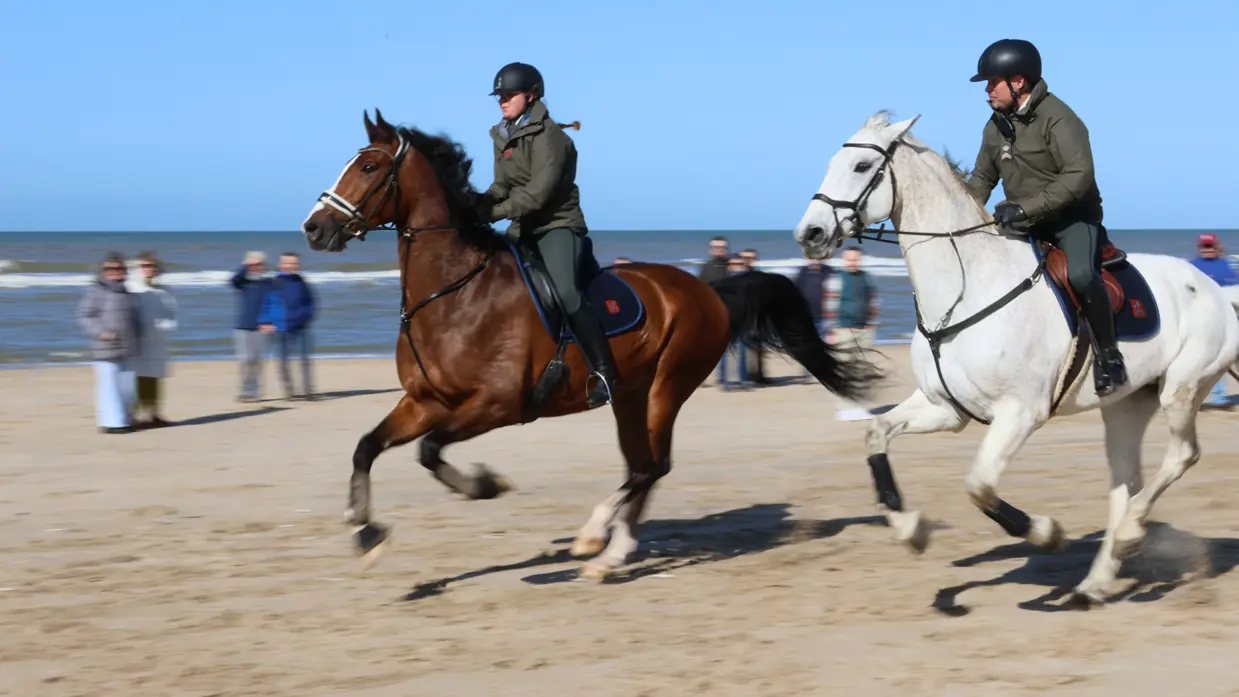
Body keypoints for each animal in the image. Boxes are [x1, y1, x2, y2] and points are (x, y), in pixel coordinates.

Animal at [299, 109, 883, 580]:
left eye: (368, 168)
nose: (313, 229)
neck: (454, 292)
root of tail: (710, 289)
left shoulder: (497, 405)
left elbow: (429, 451)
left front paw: (485, 485)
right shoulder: (424, 402)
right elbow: (367, 447)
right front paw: (366, 534)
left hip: (667, 387)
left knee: (652, 467)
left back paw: (599, 543)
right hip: (629, 395)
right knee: (642, 467)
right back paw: (610, 549)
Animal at [791, 110, 1239, 606]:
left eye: (861, 167)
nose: (810, 234)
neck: (966, 288)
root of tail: (1217, 289)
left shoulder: (1020, 412)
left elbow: (980, 487)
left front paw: (1047, 533)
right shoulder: (945, 409)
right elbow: (876, 433)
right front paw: (911, 529)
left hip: (1181, 390)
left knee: (1182, 456)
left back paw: (1128, 536)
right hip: (1126, 406)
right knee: (1126, 482)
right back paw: (1095, 582)